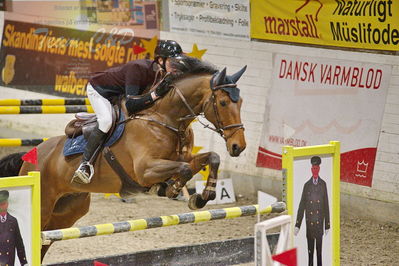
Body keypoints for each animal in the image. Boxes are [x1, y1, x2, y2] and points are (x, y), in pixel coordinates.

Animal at [0, 57, 248, 258]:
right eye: (223, 102)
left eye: (241, 102)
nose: (238, 146)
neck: (165, 119)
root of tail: (32, 156)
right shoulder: (145, 170)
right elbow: (184, 170)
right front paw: (172, 188)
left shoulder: (184, 158)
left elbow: (211, 158)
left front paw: (203, 196)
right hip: (43, 204)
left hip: (68, 210)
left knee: (46, 239)